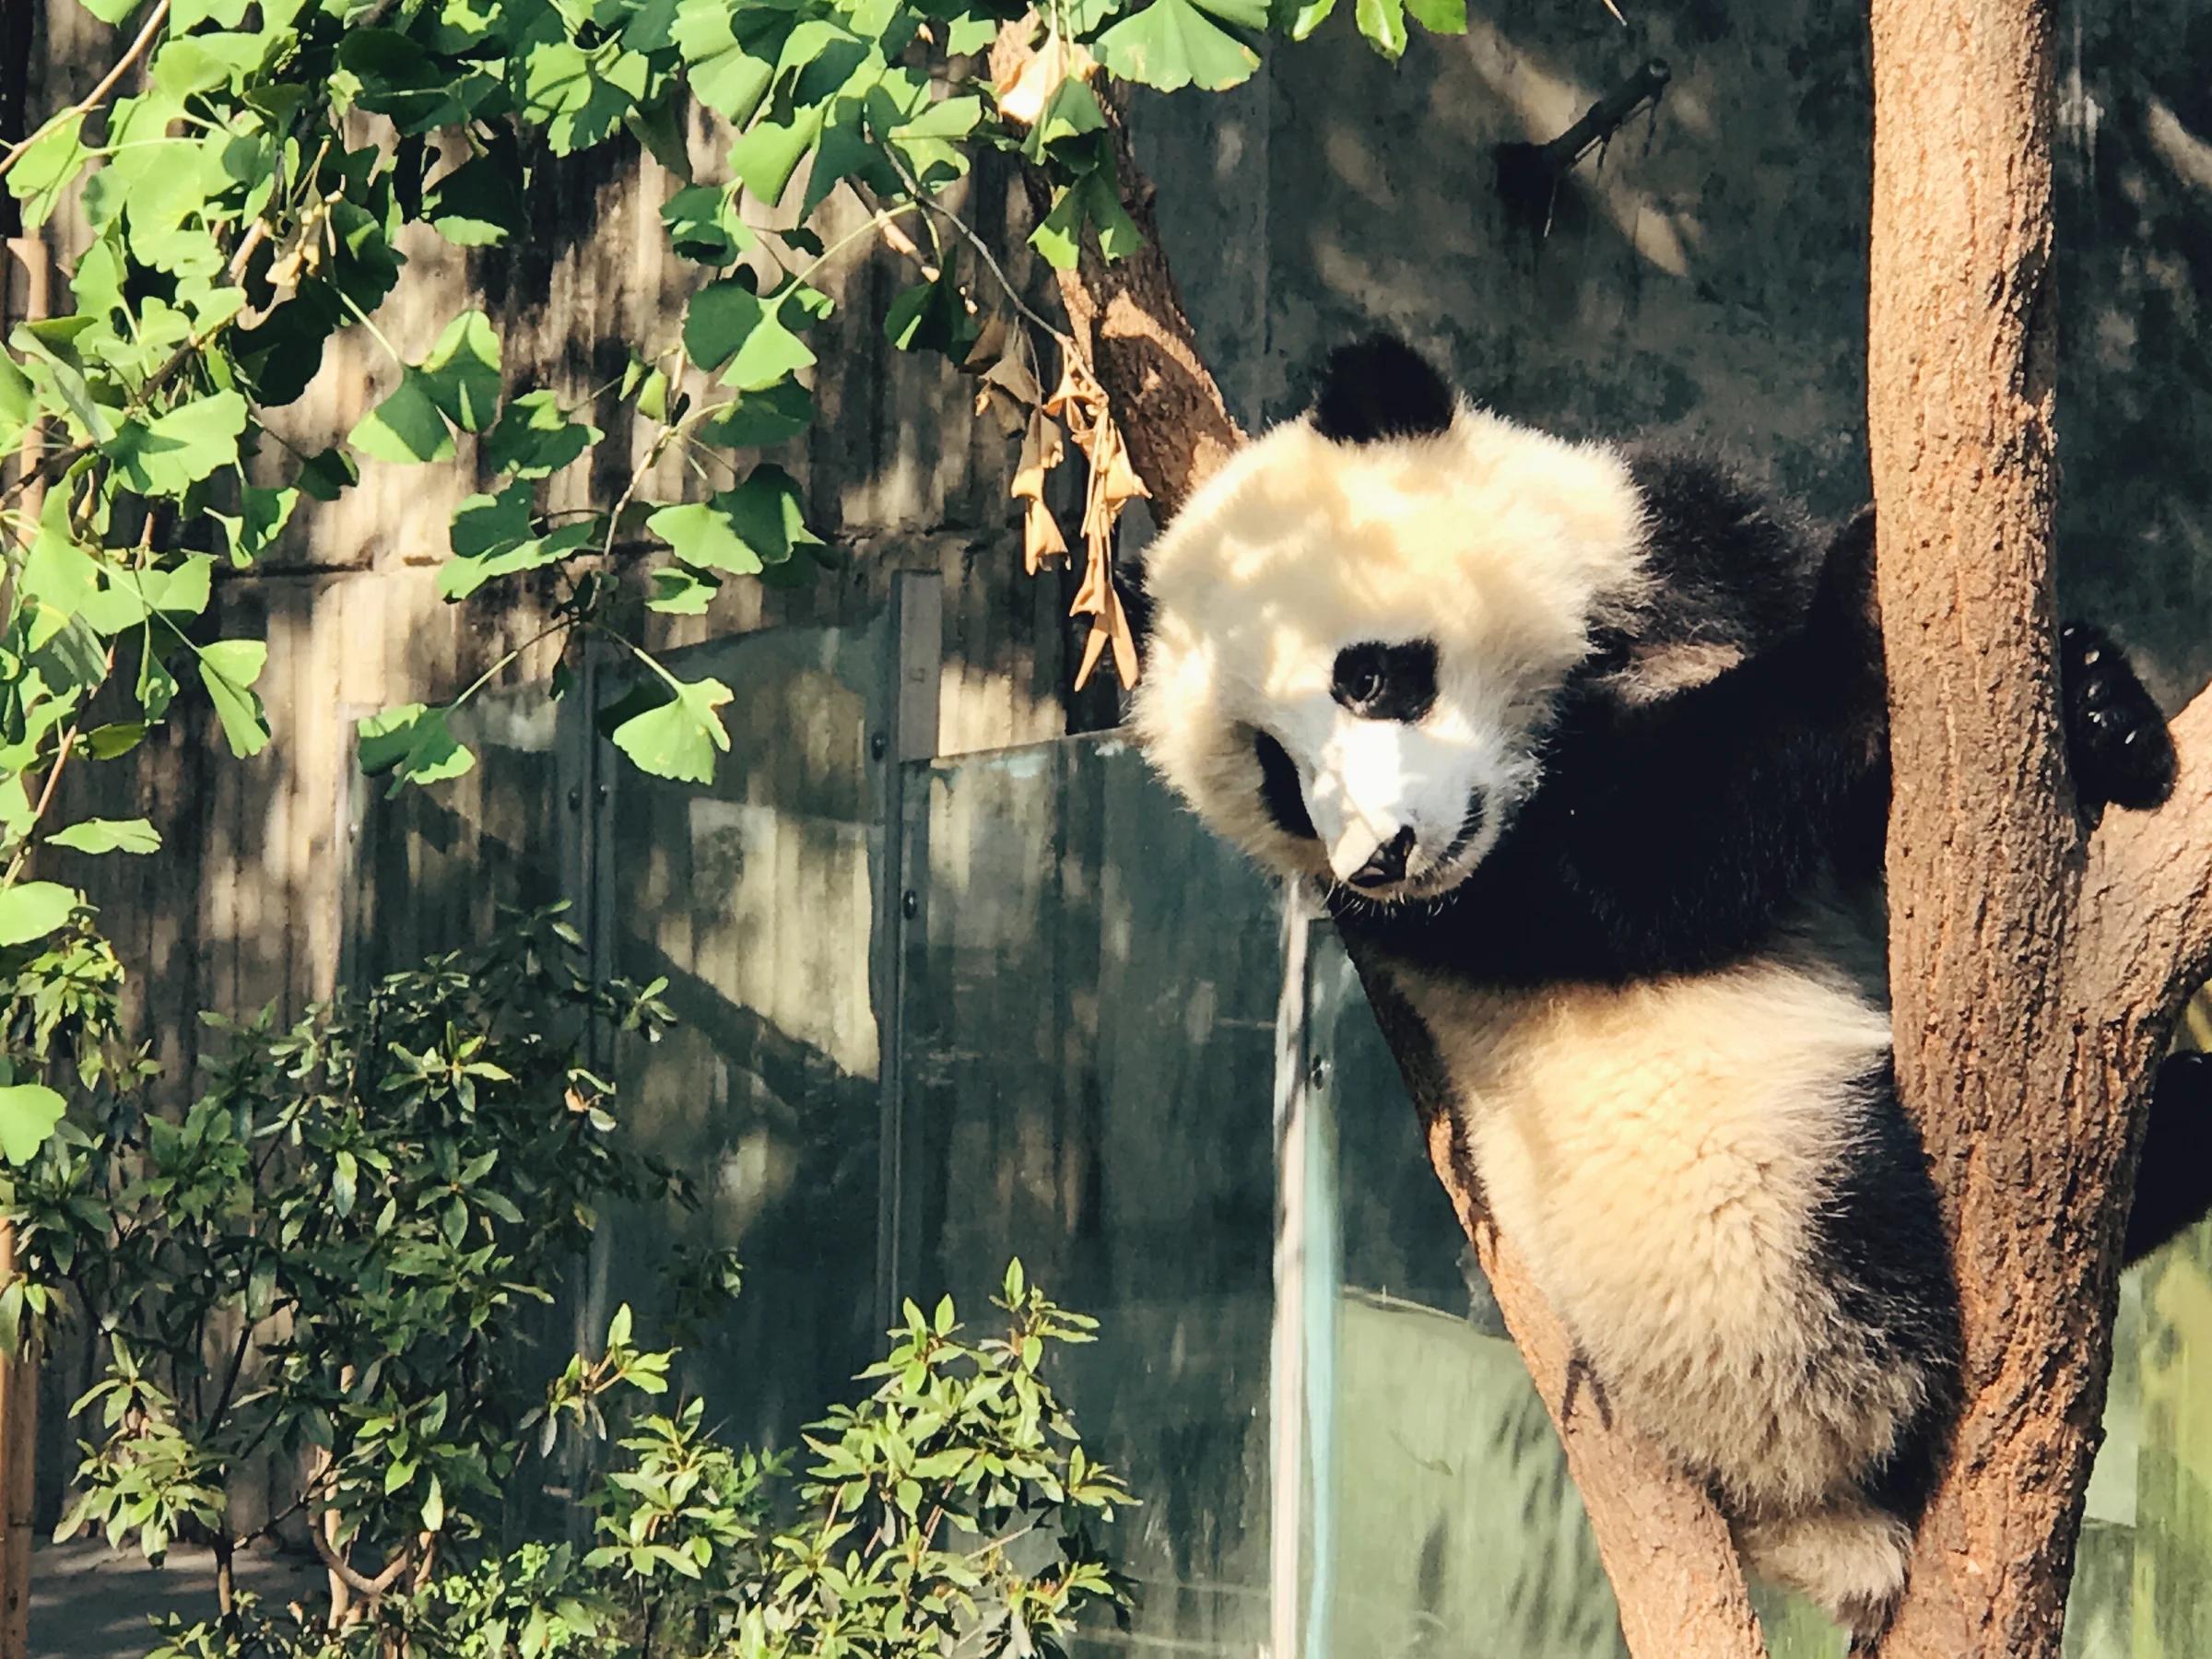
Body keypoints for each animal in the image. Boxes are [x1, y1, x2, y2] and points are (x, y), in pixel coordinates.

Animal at [1129, 335, 2211, 1645]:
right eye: (1278, 779)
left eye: (1370, 677)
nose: (1382, 856)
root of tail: (1804, 1534)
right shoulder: (1481, 904)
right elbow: (1652, 852)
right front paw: (1862, 617)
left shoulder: (1682, 536)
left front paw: (2106, 710)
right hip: (1740, 1234)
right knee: (1856, 1273)